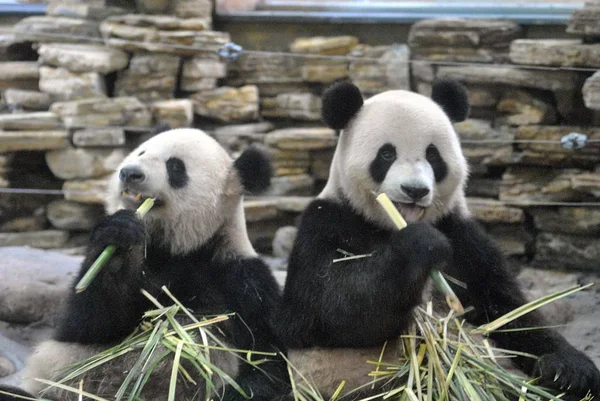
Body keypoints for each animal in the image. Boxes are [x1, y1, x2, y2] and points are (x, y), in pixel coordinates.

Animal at [0, 127, 288, 400]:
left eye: (175, 167)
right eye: (141, 152)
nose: (129, 173)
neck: (178, 248)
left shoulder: (242, 280)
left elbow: (269, 360)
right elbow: (85, 326)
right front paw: (117, 246)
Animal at [276, 79, 600, 398]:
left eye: (433, 154)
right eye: (386, 154)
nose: (415, 190)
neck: (393, 225)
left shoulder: (462, 236)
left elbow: (508, 312)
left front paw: (567, 369)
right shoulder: (327, 223)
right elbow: (328, 306)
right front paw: (420, 245)